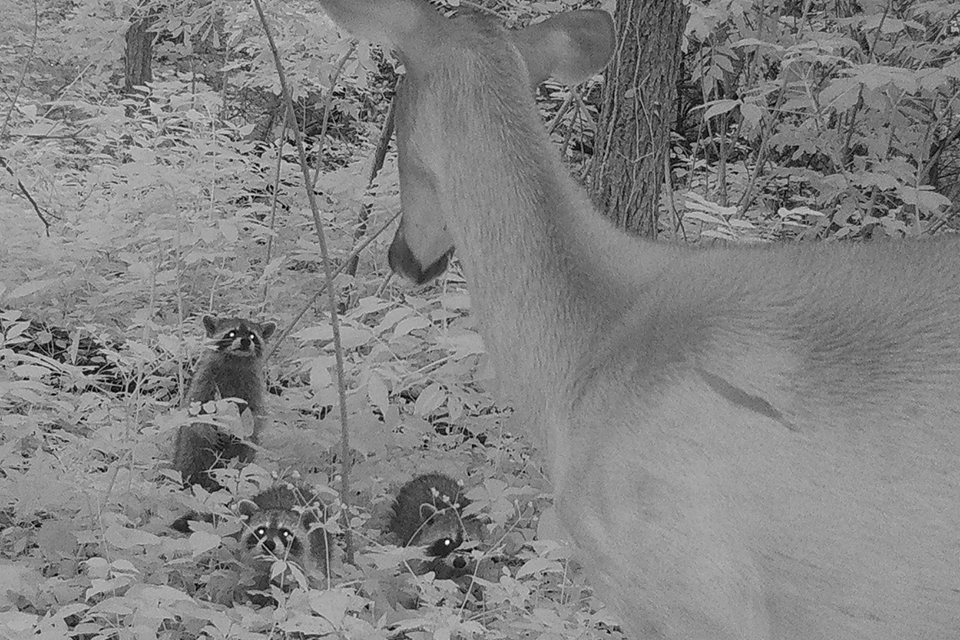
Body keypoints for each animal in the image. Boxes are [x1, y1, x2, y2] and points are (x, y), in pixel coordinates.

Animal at [173, 315, 276, 491]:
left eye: (252, 336)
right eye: (232, 333)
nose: (245, 341)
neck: (236, 361)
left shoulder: (255, 387)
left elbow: (256, 415)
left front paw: (243, 431)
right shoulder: (203, 381)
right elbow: (195, 412)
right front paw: (207, 428)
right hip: (188, 448)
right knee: (188, 463)